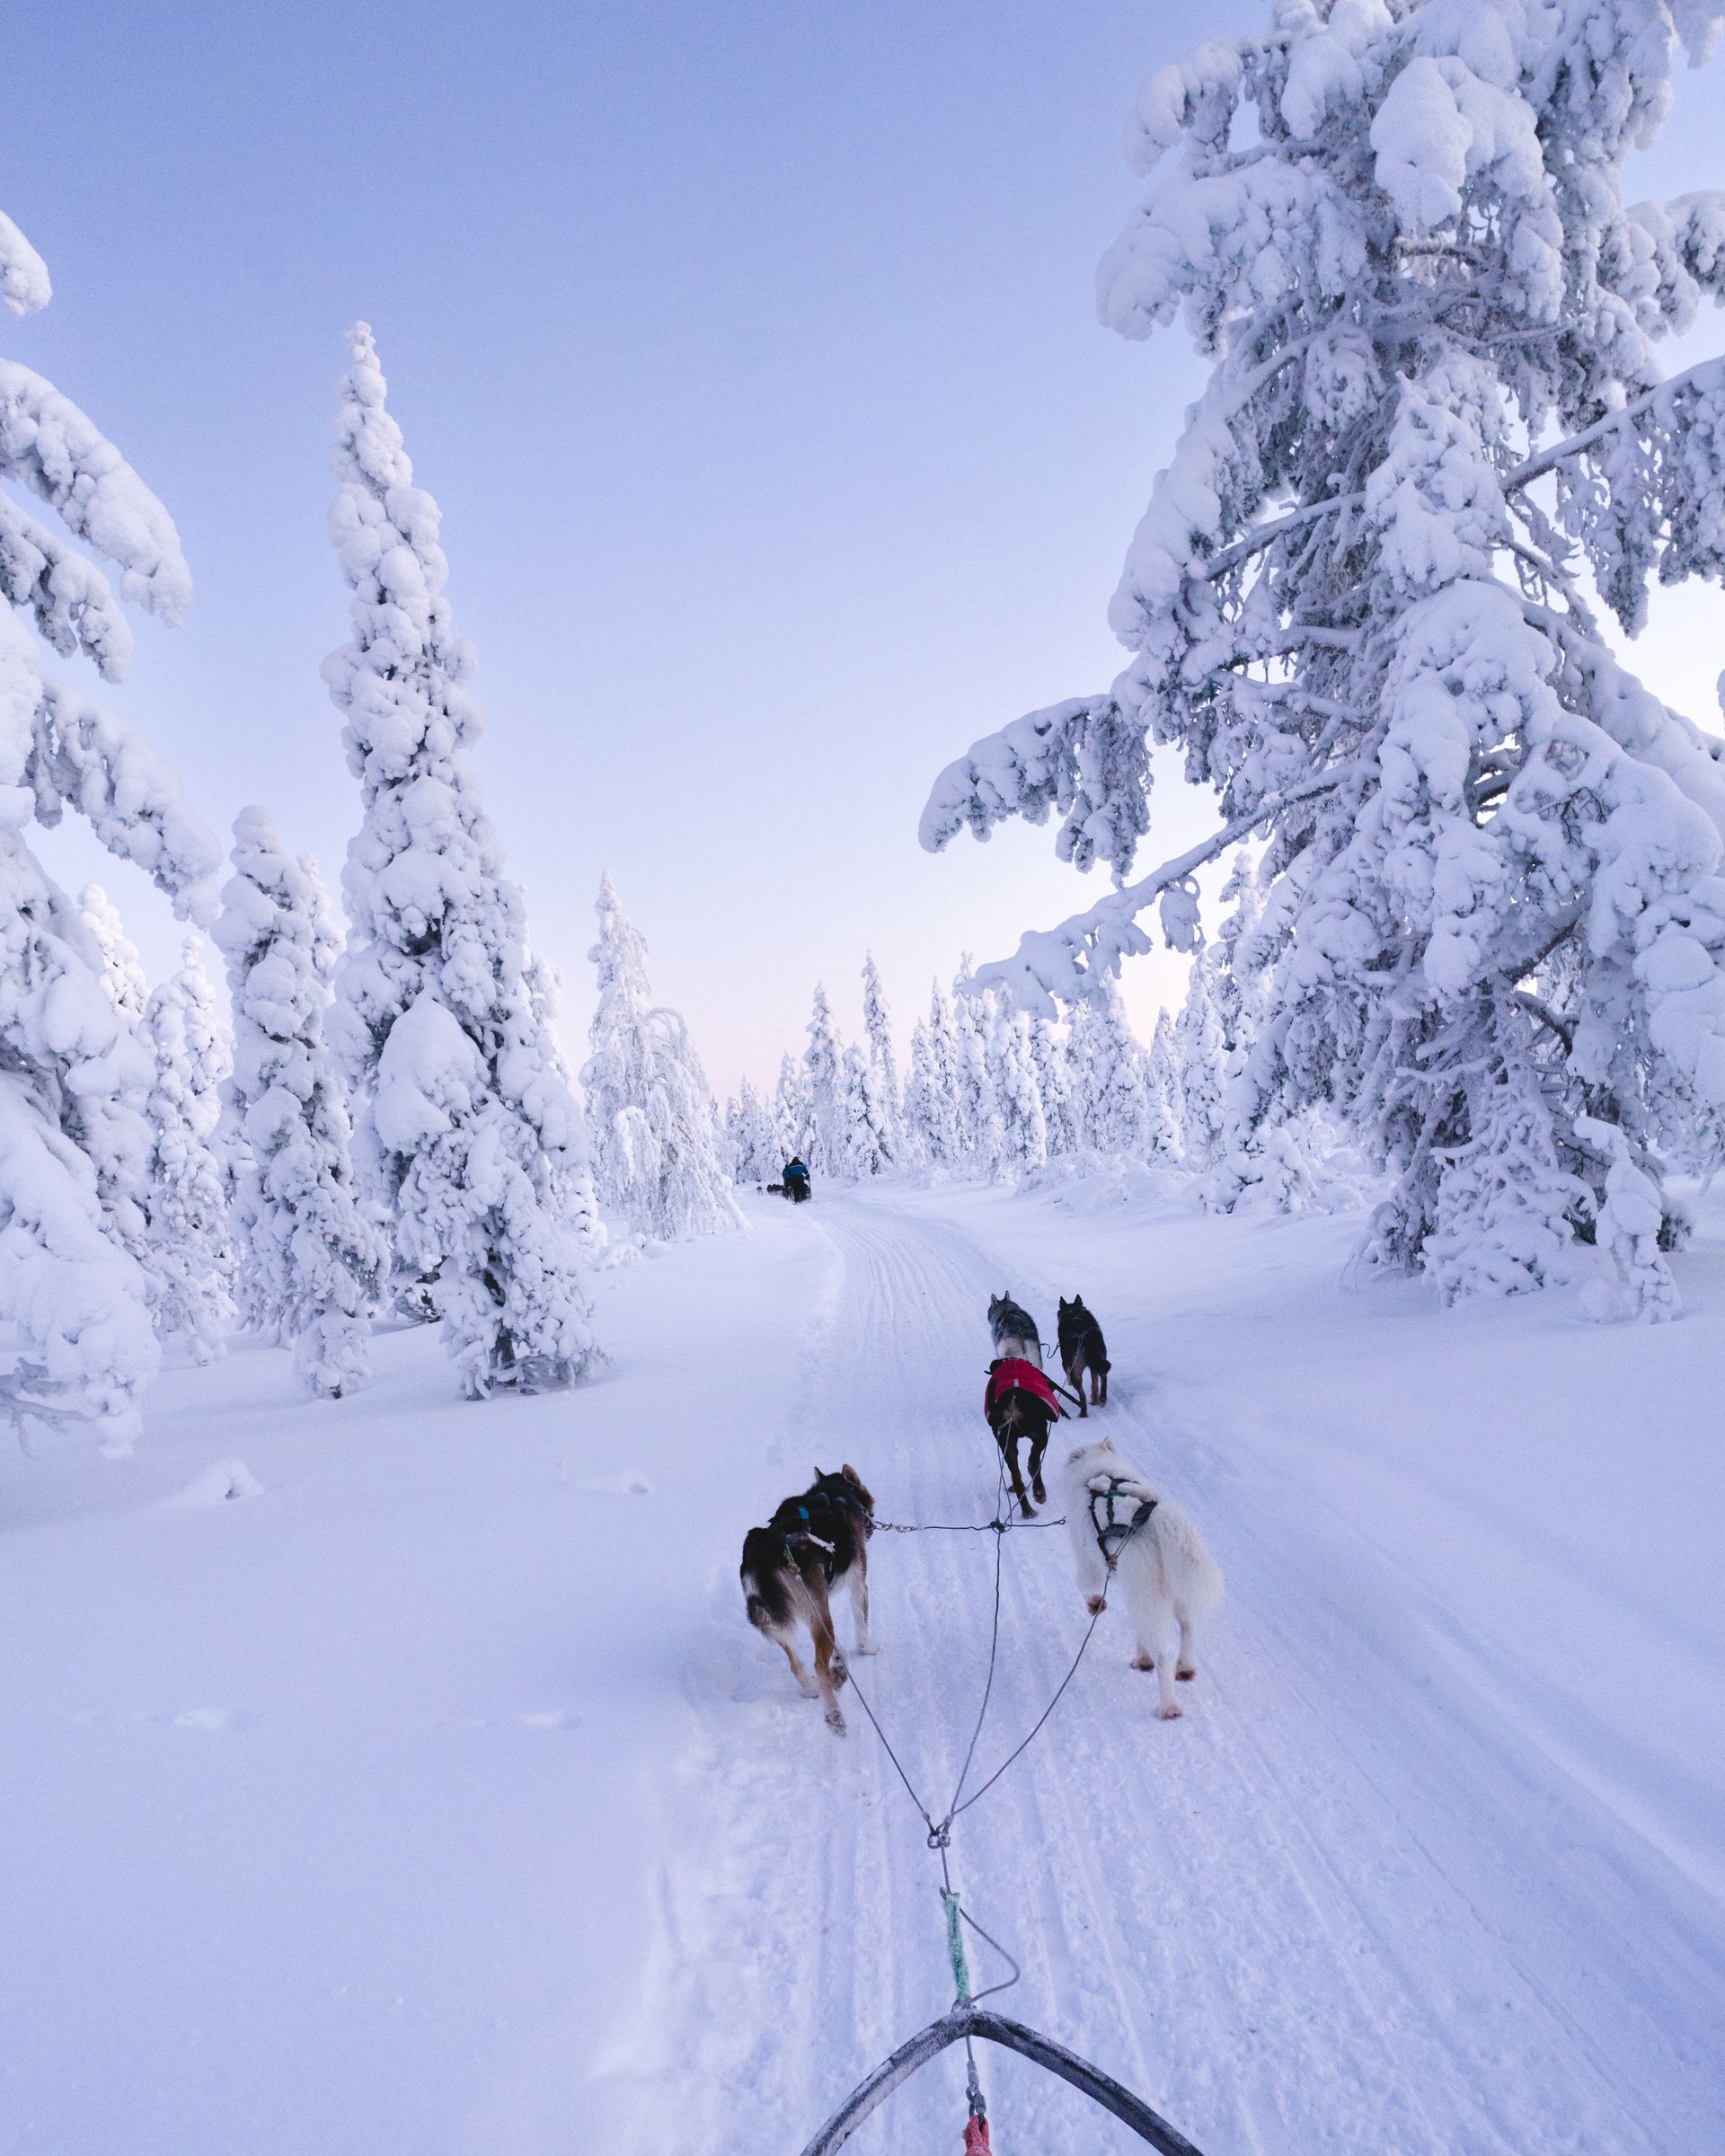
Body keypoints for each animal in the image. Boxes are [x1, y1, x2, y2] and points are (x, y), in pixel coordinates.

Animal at [737, 1466, 875, 1733]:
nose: (872, 1523)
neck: (835, 1493)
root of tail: (767, 1550)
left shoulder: (819, 1608)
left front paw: (840, 1659)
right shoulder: (858, 1585)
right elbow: (861, 1624)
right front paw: (867, 1649)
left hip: (787, 1619)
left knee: (796, 1664)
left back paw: (814, 1687)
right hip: (815, 1608)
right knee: (818, 1665)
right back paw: (834, 1714)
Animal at [1057, 1294, 1112, 1414]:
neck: (1073, 1311)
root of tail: (1084, 1336)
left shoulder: (1066, 1364)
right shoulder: (1093, 1366)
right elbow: (1095, 1384)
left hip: (1075, 1369)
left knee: (1081, 1393)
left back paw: (1083, 1411)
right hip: (1099, 1360)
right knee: (1102, 1378)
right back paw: (1100, 1399)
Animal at [1057, 1440, 1216, 1725]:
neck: (1098, 1470)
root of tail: (1158, 1519)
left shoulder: (1089, 1563)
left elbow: (1085, 1586)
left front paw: (1095, 1605)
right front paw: (1142, 1658)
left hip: (1145, 1597)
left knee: (1163, 1656)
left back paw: (1169, 1707)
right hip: (1170, 1594)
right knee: (1187, 1628)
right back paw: (1184, 1667)